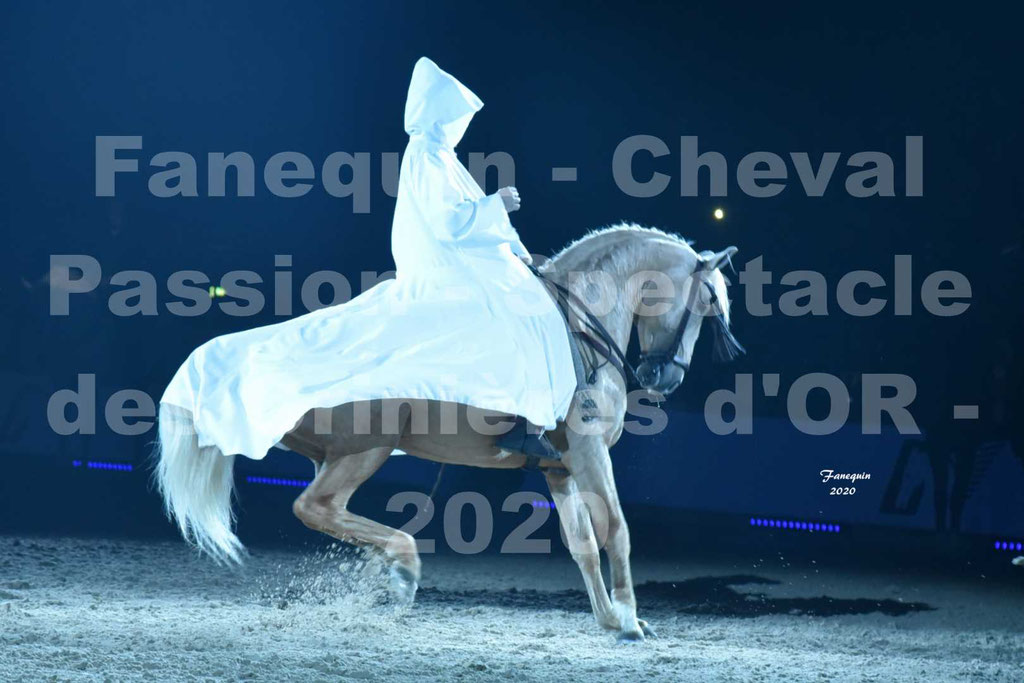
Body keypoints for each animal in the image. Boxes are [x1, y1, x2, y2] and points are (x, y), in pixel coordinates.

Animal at [153, 224, 745, 643]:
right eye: (710, 303)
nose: (664, 378)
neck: (579, 325)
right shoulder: (590, 451)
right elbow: (617, 530)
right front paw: (628, 621)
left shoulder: (559, 466)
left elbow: (581, 543)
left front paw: (606, 618)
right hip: (366, 448)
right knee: (314, 506)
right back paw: (404, 567)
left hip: (338, 454)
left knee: (328, 513)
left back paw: (387, 568)